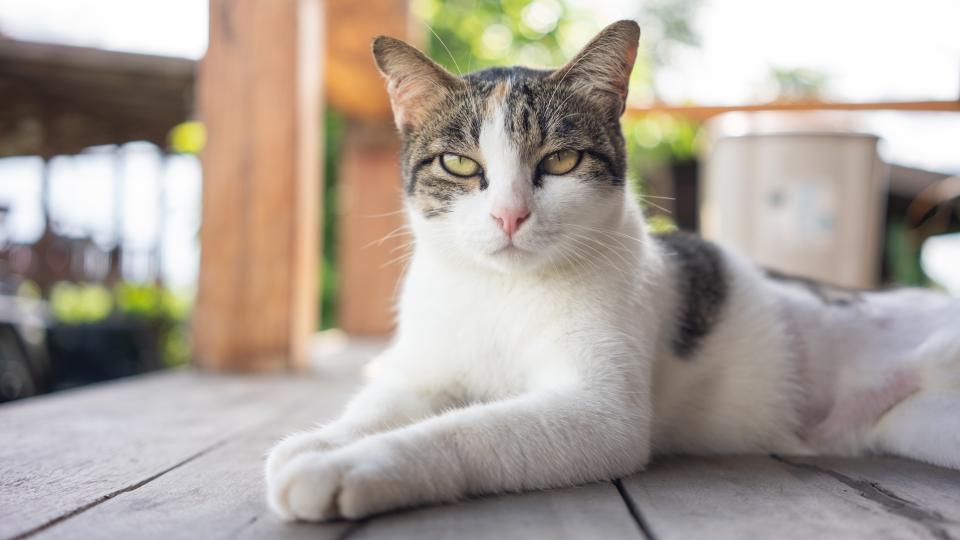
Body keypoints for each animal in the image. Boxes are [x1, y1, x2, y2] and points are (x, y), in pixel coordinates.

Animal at [262, 21, 960, 524]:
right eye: (460, 165)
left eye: (560, 161)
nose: (510, 215)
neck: (501, 292)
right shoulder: (426, 368)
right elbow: (385, 401)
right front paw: (322, 441)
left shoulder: (599, 414)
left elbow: (466, 430)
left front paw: (348, 468)